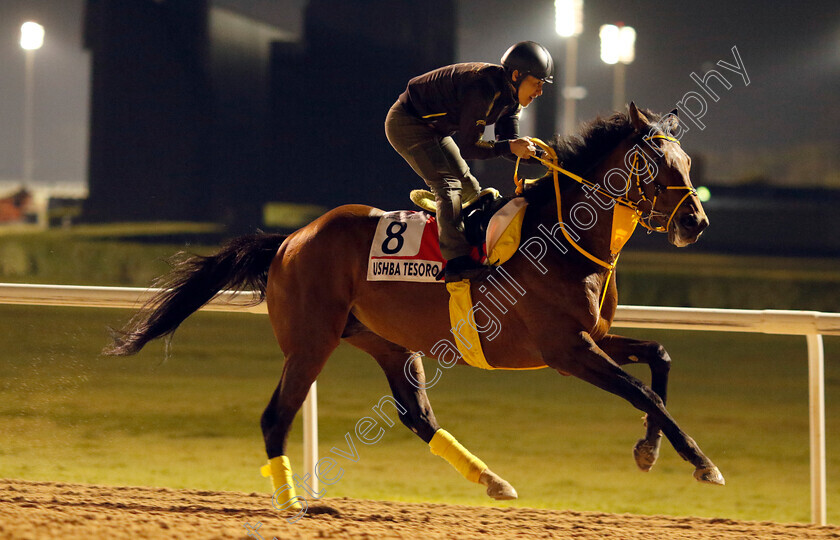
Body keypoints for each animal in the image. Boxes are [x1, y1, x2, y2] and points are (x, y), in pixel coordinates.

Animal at [105, 102, 720, 516]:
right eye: (657, 165)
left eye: (688, 161)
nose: (696, 223)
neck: (563, 237)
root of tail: (290, 239)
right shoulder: (565, 350)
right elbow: (641, 390)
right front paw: (701, 463)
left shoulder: (594, 336)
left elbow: (659, 357)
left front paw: (649, 449)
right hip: (310, 343)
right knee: (276, 416)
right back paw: (293, 505)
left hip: (387, 342)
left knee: (417, 415)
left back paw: (492, 480)